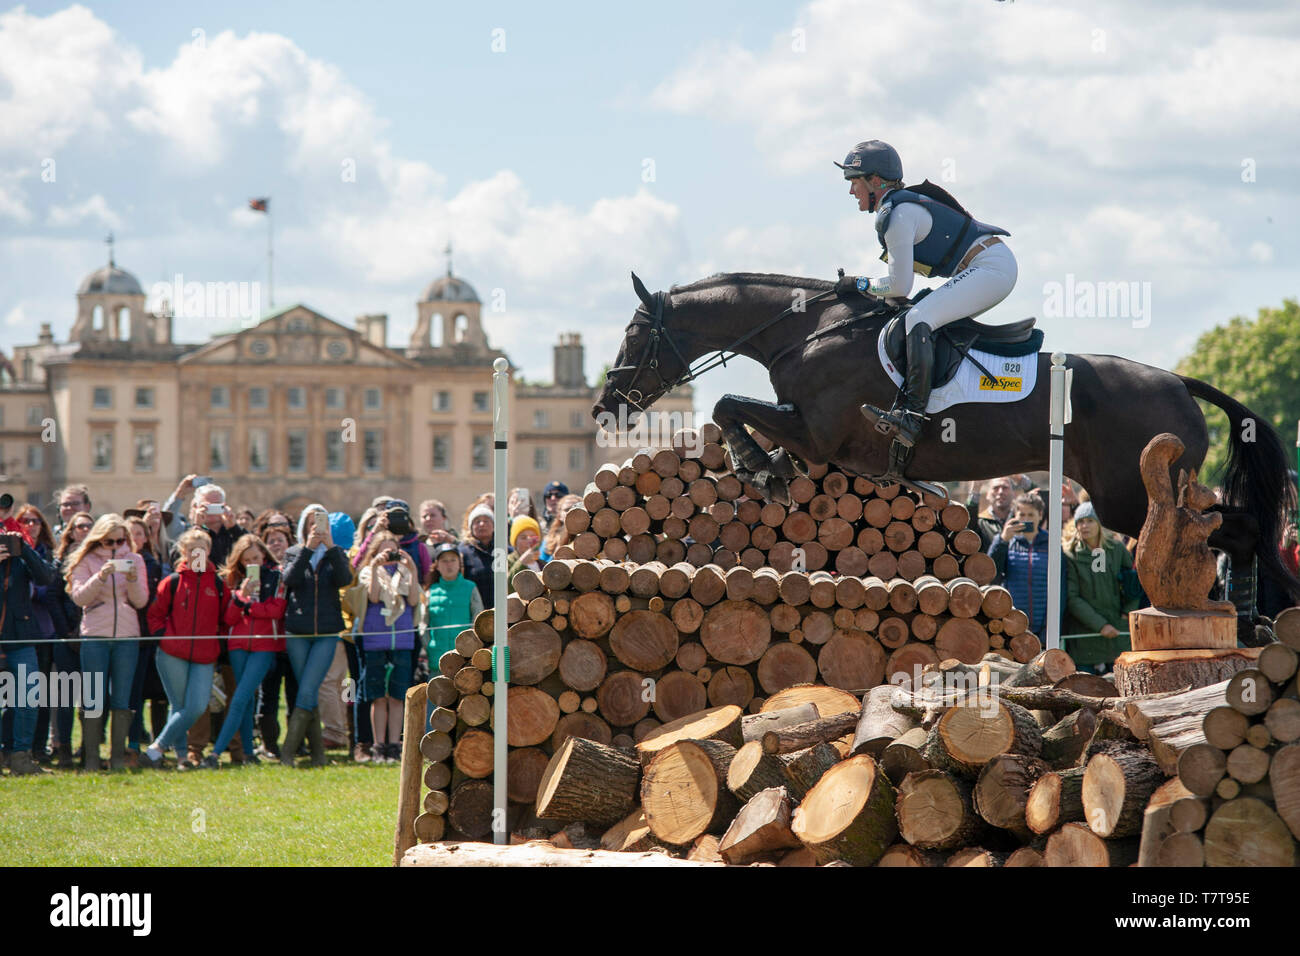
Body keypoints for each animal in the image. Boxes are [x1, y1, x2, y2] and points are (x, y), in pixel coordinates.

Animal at [592, 269, 1300, 600]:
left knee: (1235, 531)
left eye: (633, 334)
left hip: (1131, 497)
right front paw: (763, 468)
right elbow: (733, 409)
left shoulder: (816, 434)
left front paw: (760, 468)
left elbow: (727, 405)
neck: (809, 331)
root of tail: (1180, 381)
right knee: (1230, 532)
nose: (606, 407)